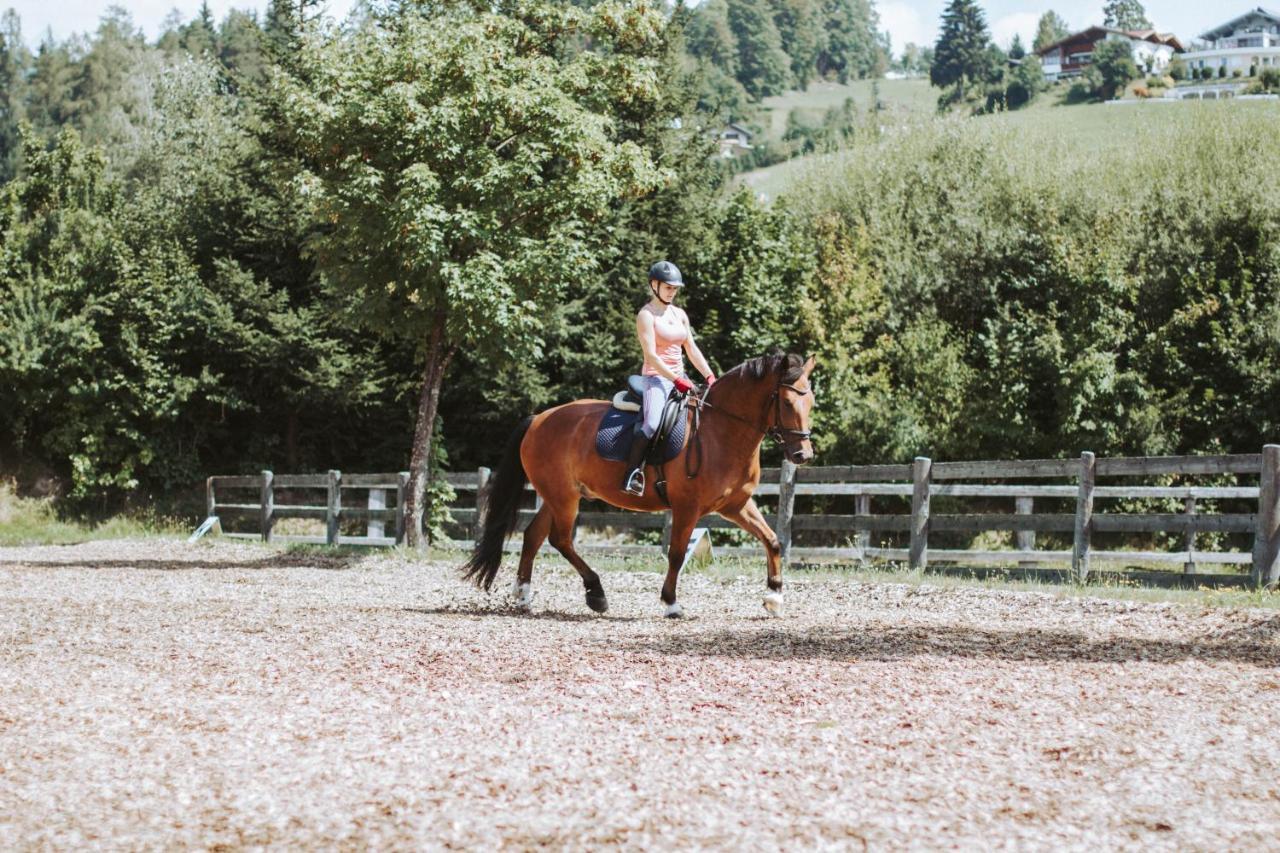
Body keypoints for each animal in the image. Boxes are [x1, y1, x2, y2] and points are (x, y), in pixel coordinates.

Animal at [465, 348, 814, 614]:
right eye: (786, 403)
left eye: (810, 402)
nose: (803, 454)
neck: (722, 431)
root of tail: (539, 418)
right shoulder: (687, 508)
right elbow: (676, 554)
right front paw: (671, 604)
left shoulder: (735, 505)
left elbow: (772, 540)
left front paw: (774, 597)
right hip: (564, 498)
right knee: (560, 540)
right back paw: (596, 593)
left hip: (558, 495)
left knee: (534, 536)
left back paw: (524, 595)